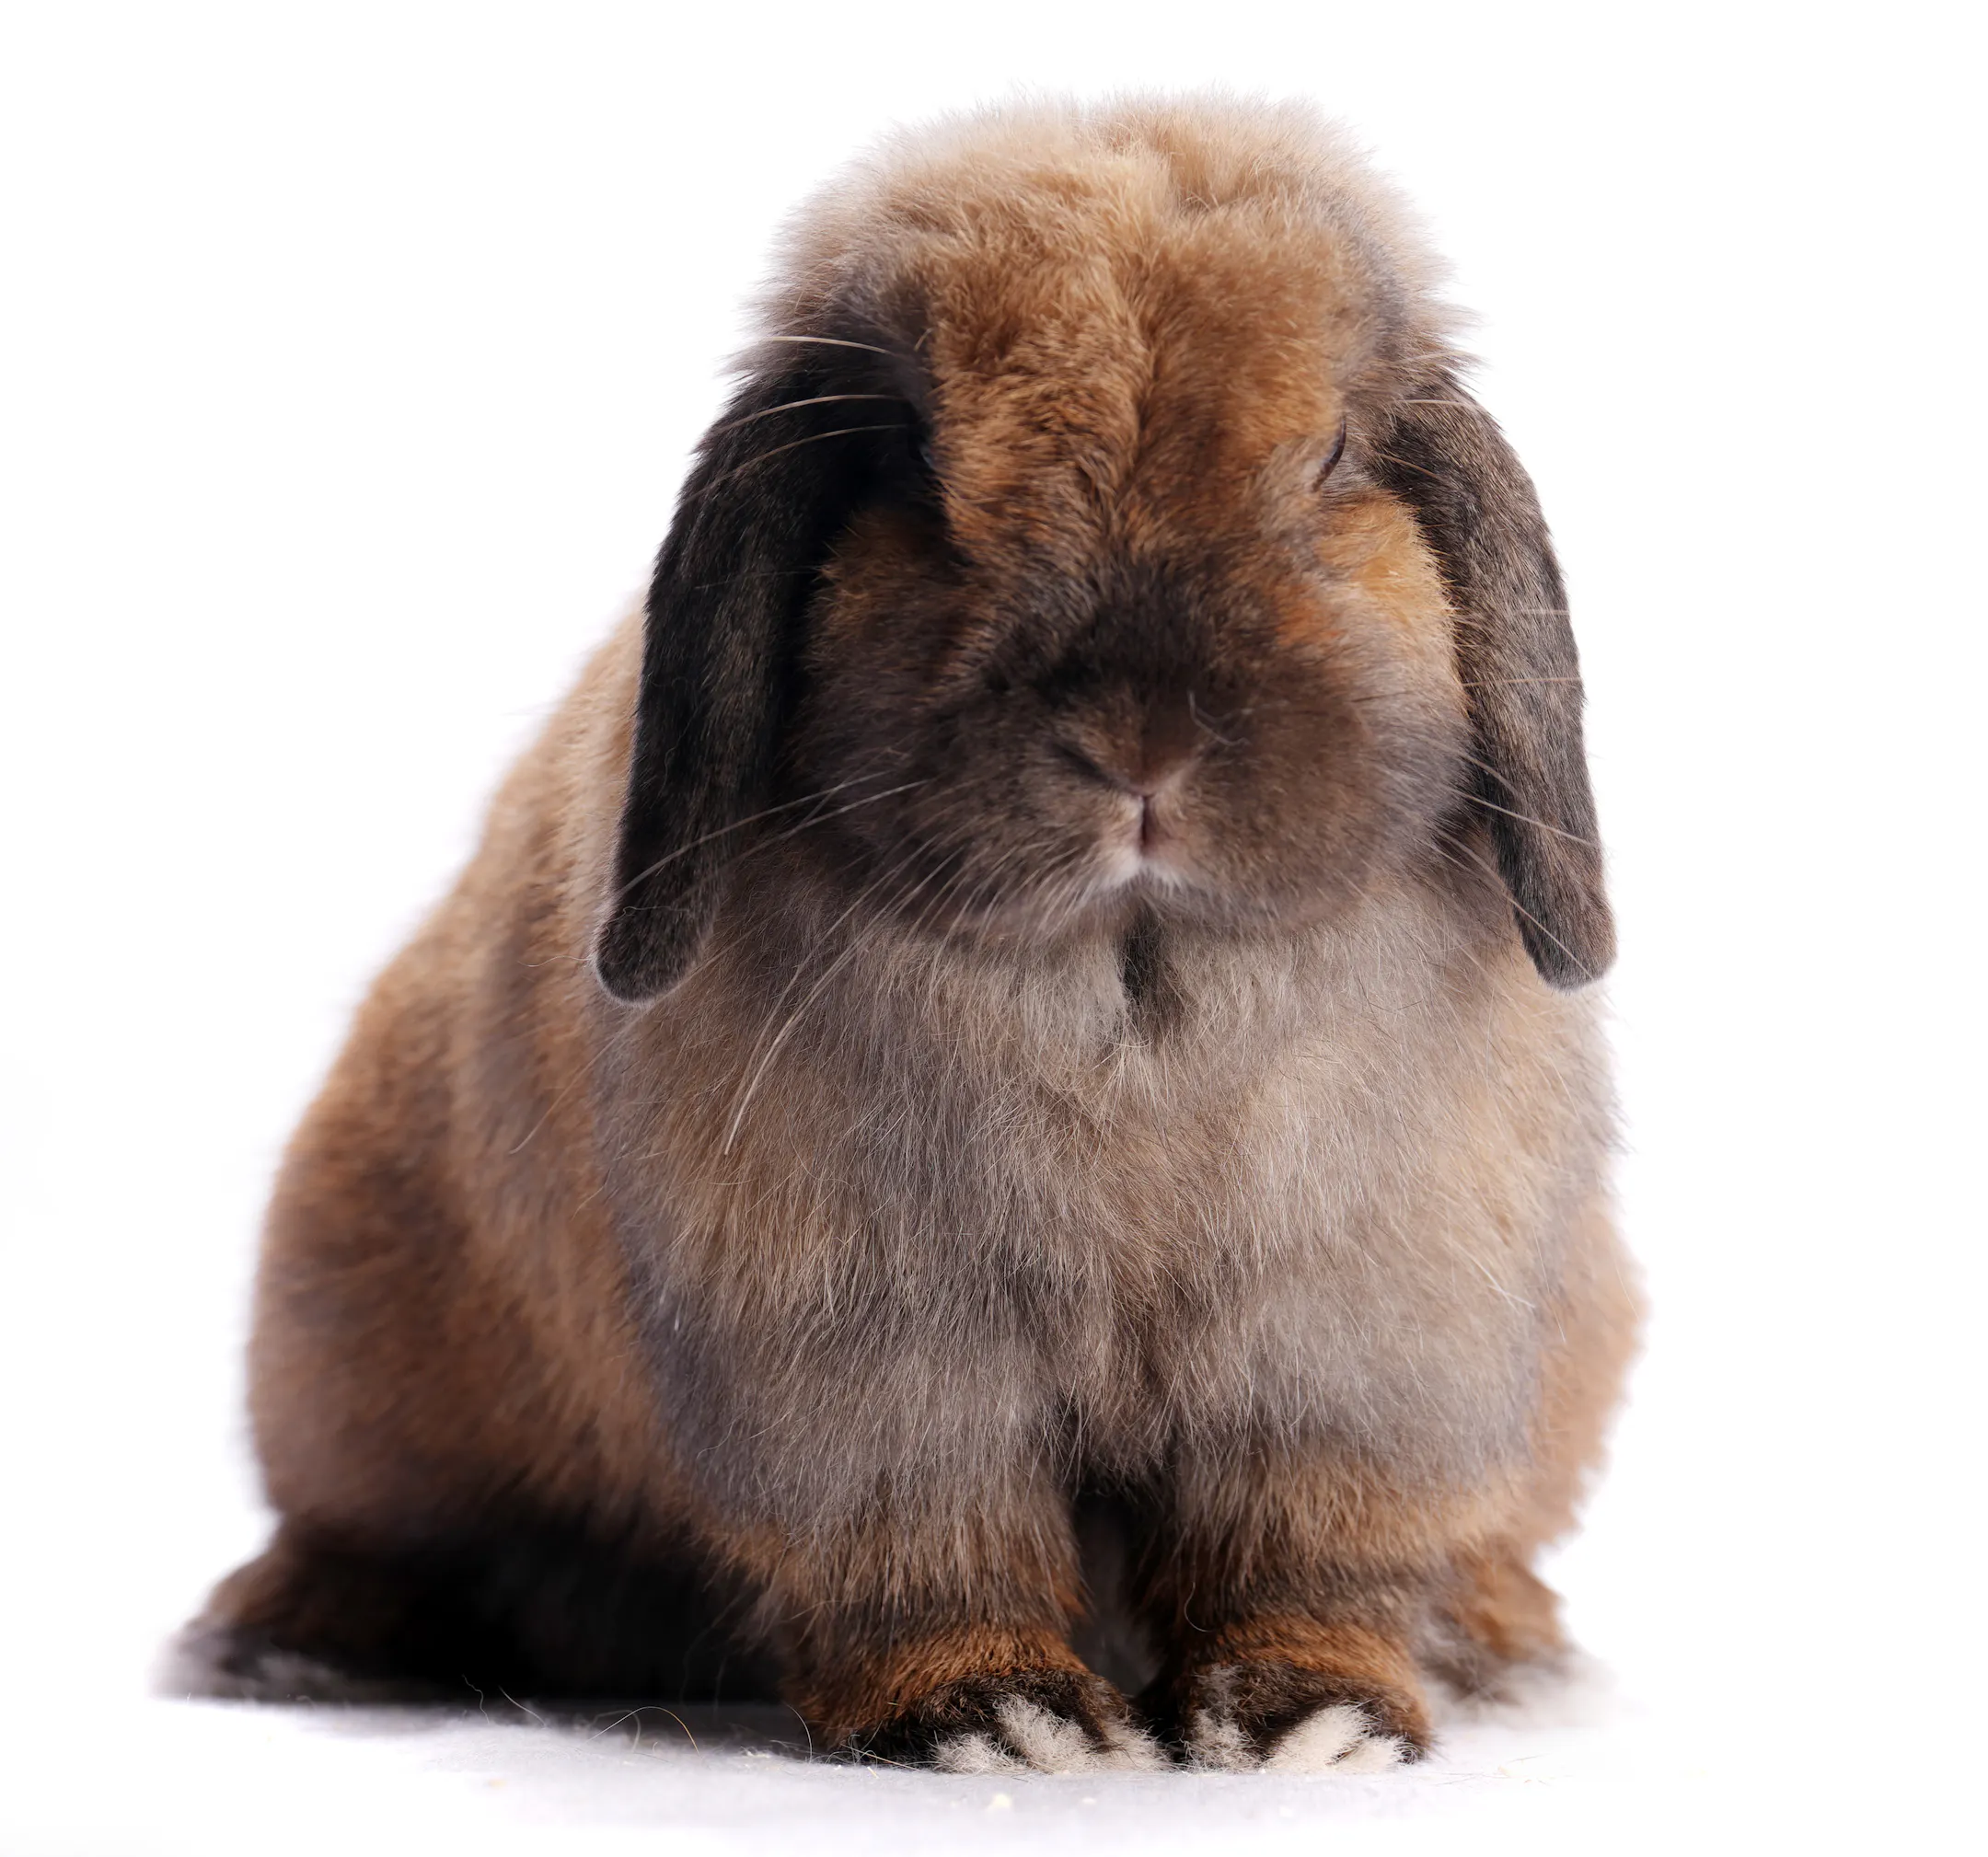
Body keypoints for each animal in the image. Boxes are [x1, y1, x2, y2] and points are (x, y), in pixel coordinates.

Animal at [175, 96, 1640, 1774]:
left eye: (1332, 456)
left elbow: (1307, 1550)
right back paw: (287, 1645)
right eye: (922, 472)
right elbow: (924, 1546)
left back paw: (1510, 1645)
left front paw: (1310, 1722)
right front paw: (1005, 1720)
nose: (1139, 740)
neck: (1131, 980)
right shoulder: (869, 1363)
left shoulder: (1354, 1352)